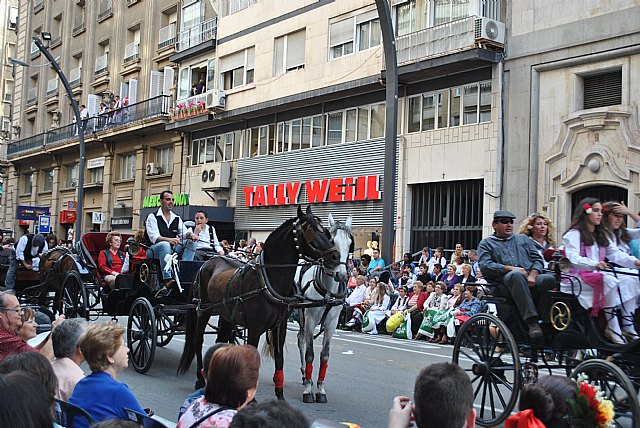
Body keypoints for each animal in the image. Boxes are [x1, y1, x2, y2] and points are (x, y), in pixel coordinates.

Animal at [178, 206, 342, 400]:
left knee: (220, 342)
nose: (335, 256)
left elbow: (279, 357)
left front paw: (279, 395)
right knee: (198, 340)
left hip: (227, 316)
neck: (269, 279)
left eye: (325, 230)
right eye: (310, 230)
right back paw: (199, 380)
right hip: (203, 311)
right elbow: (252, 354)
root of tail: (207, 263)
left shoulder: (280, 326)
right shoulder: (255, 327)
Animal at [296, 216, 352, 402]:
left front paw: (320, 389)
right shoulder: (310, 320)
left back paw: (305, 375)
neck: (327, 290)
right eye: (332, 240)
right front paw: (308, 391)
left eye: (350, 243)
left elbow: (324, 355)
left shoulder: (331, 323)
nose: (341, 274)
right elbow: (310, 354)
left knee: (300, 339)